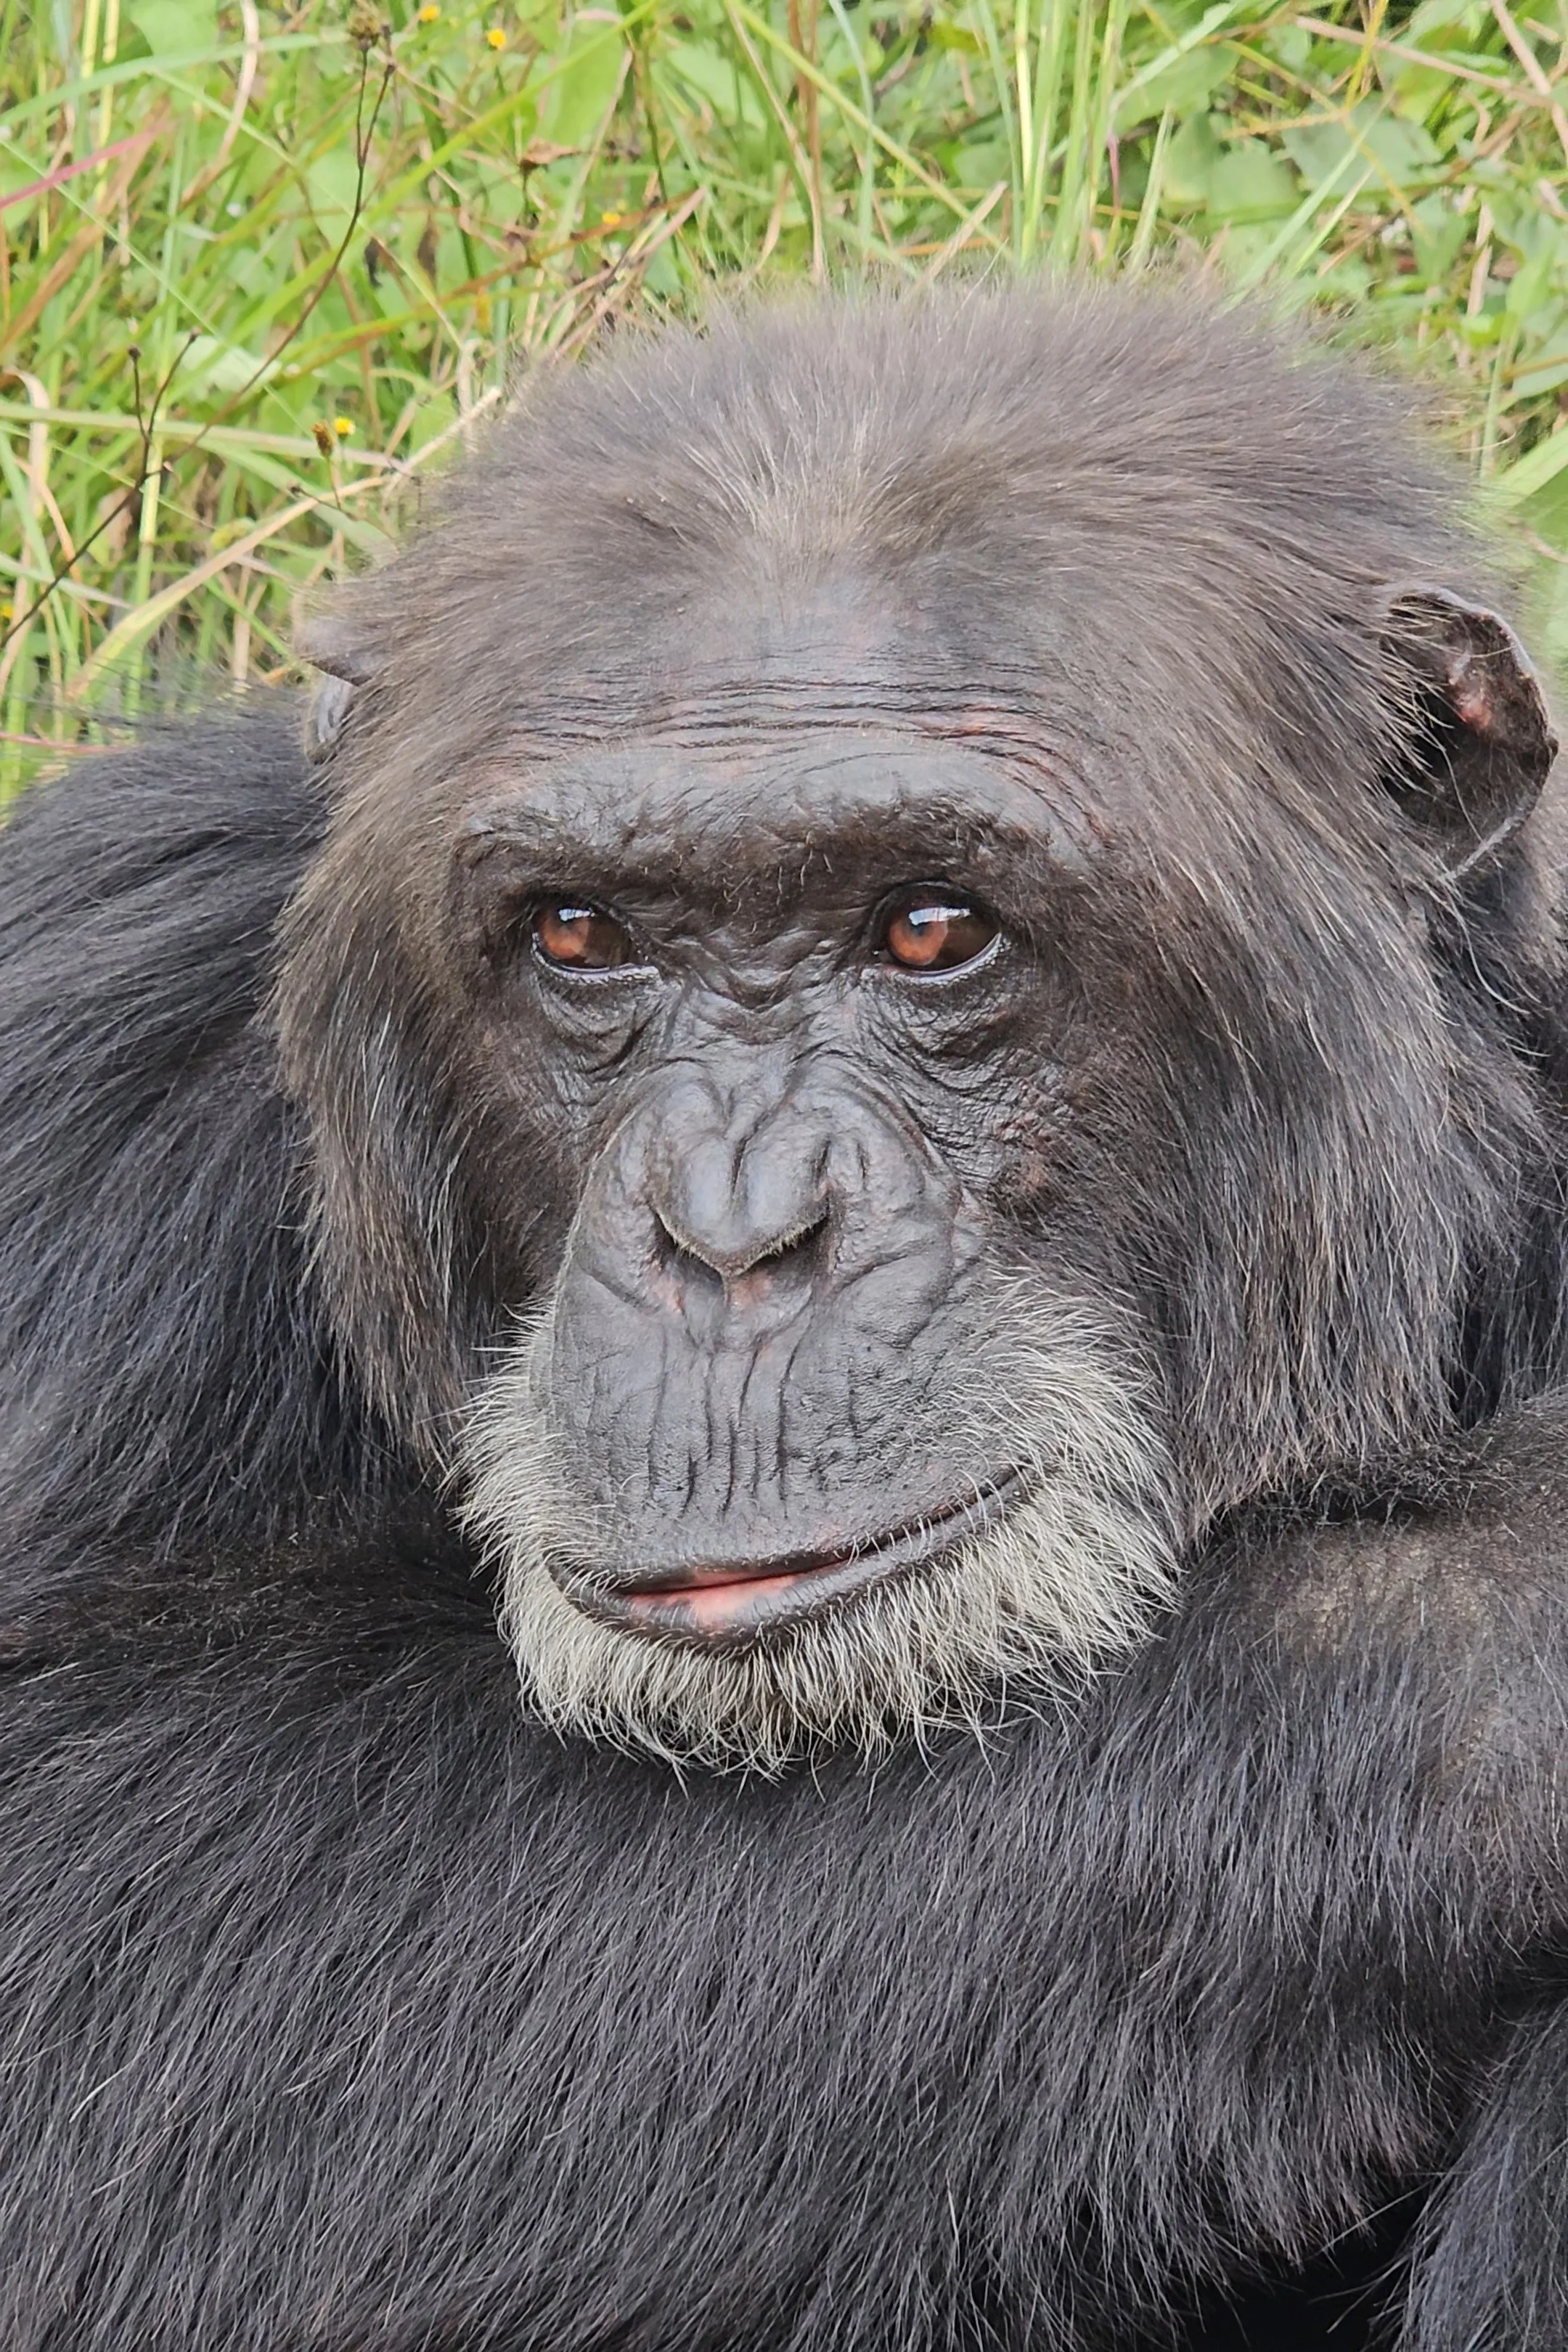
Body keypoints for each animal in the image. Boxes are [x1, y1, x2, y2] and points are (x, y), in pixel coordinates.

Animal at [3, 285, 1568, 2343]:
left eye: (932, 926)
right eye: (579, 933)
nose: (736, 1231)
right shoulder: (92, 1016)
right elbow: (67, 1912)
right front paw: (1516, 1613)